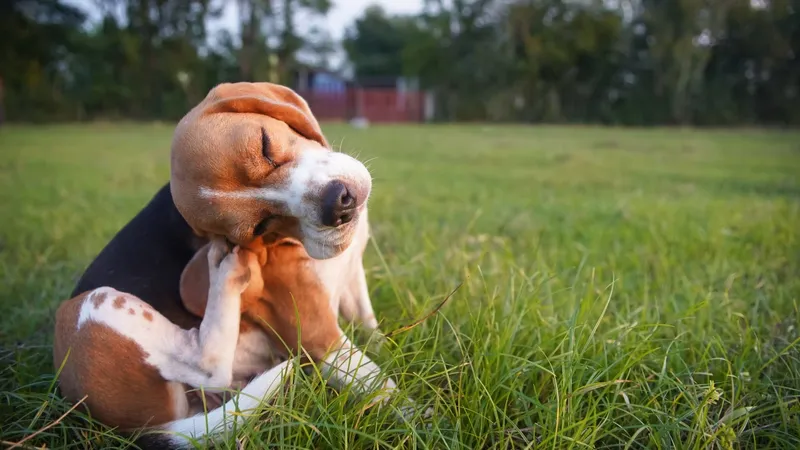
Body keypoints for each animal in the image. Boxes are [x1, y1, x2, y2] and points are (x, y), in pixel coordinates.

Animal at [53, 83, 410, 446]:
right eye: (261, 227)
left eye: (265, 145)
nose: (338, 206)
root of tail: (144, 428)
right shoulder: (320, 338)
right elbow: (385, 388)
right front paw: (419, 419)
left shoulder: (352, 279)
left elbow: (370, 326)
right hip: (92, 307)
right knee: (207, 366)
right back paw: (225, 272)